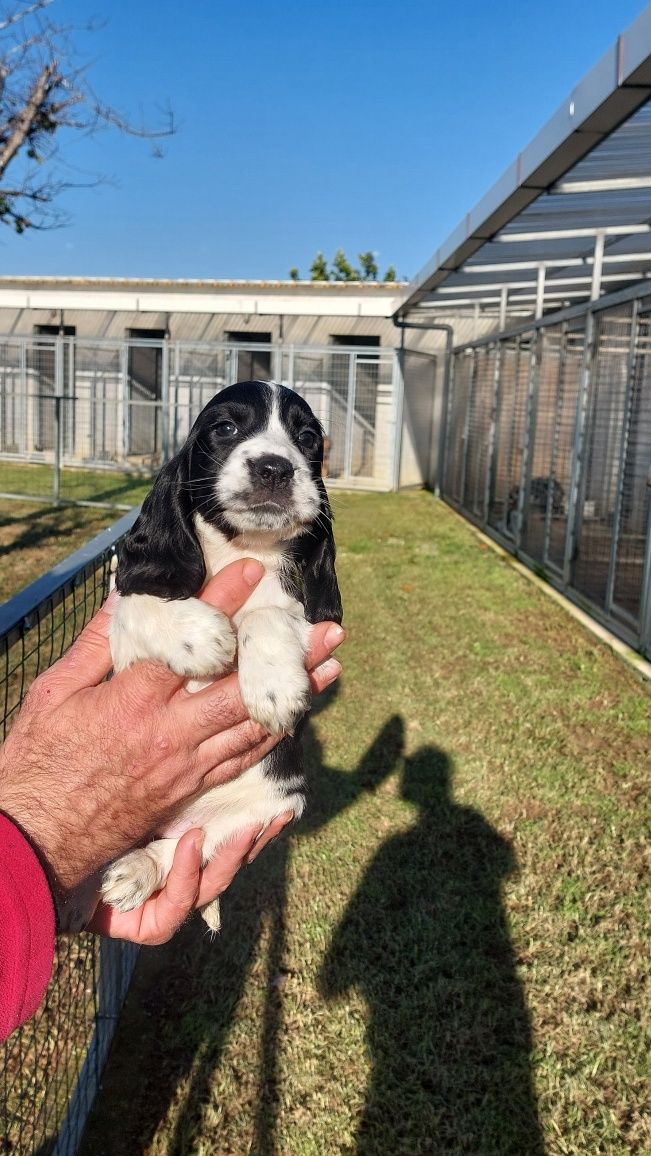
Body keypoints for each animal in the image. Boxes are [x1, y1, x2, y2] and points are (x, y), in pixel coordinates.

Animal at [100, 379, 342, 929]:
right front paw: (204, 636)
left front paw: (273, 689)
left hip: (267, 806)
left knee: (187, 845)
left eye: (308, 438)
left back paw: (138, 870)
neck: (242, 549)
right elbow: (139, 600)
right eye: (226, 428)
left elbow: (267, 615)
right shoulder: (123, 617)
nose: (275, 467)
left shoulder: (313, 622)